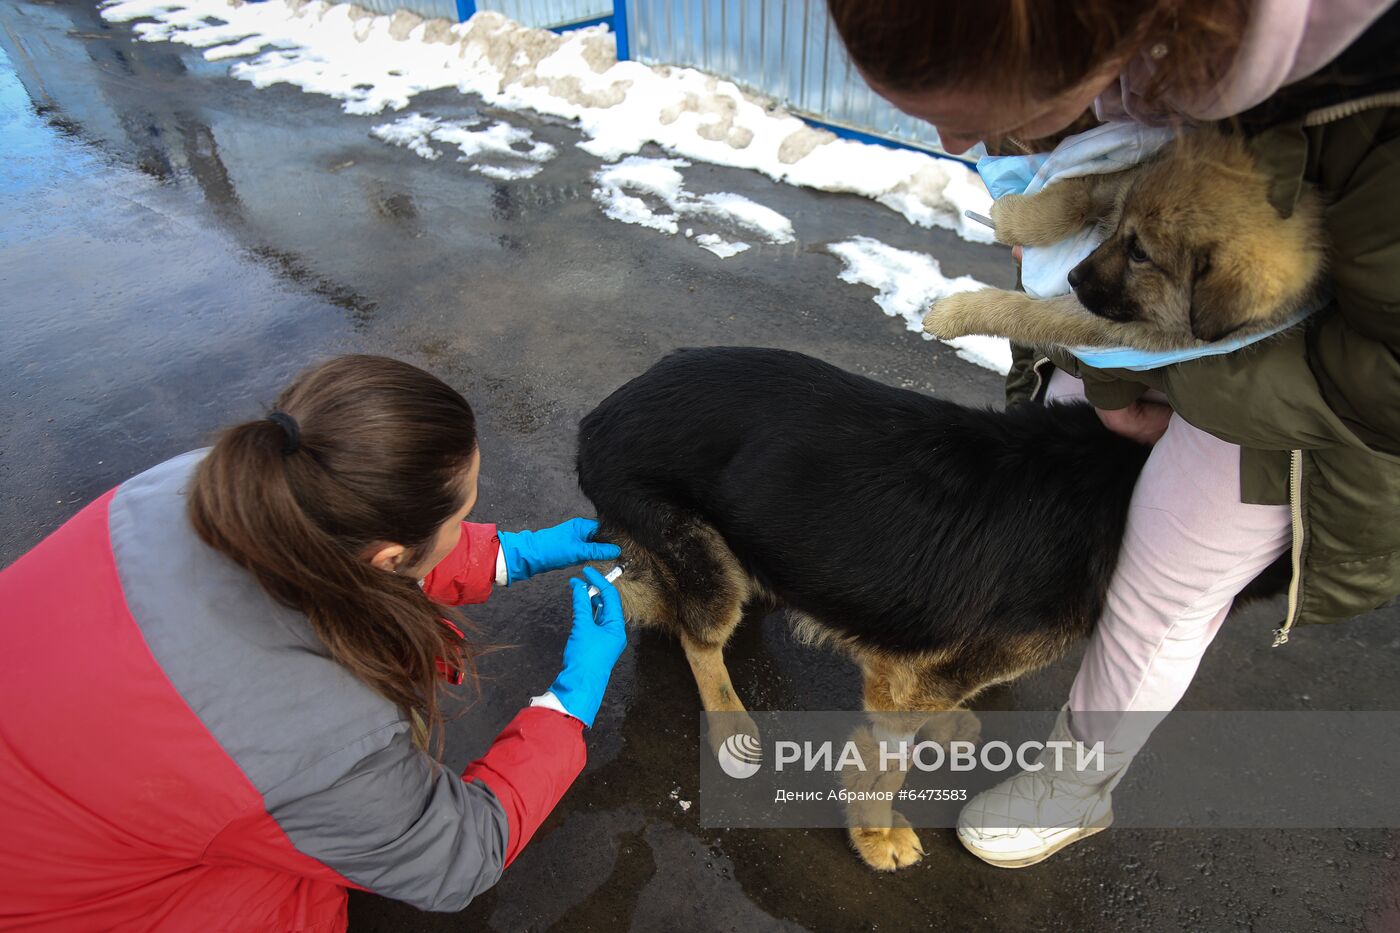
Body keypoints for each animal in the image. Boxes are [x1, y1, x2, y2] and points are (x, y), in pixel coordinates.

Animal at [924, 131, 1327, 348]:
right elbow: (1070, 200)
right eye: (1127, 240)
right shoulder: (1121, 181)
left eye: (1141, 254)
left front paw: (953, 315)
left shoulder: (1103, 318)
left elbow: (1021, 312)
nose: (1071, 277)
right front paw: (1011, 217)